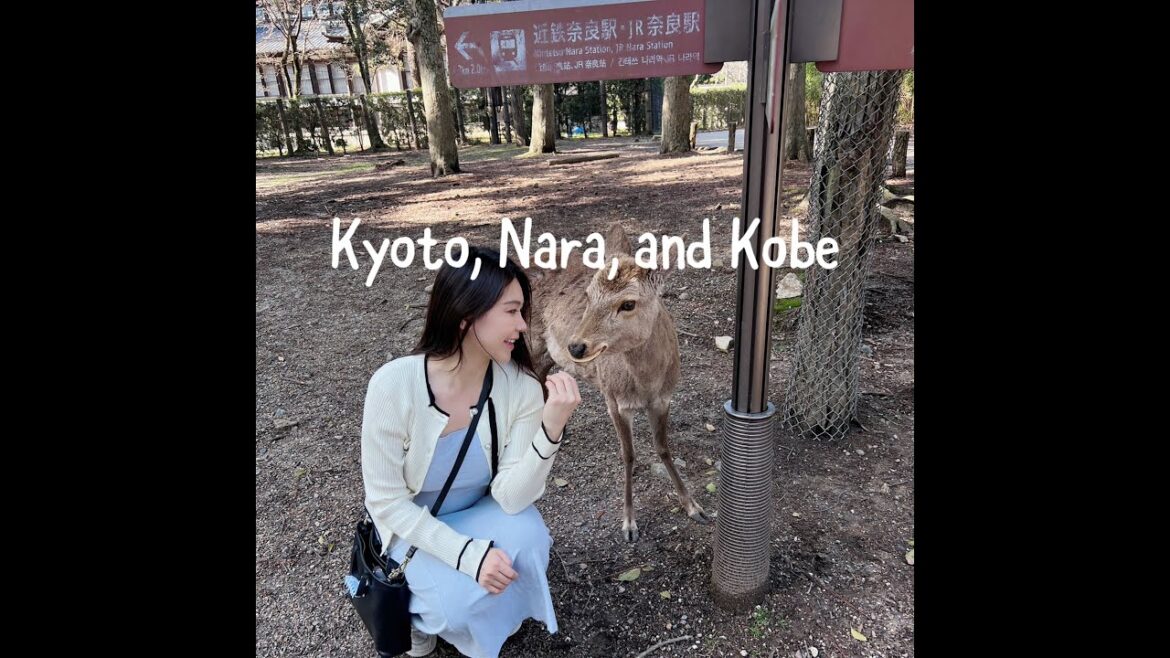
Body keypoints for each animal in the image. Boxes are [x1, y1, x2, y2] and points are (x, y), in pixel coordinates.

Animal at [526, 222, 710, 542]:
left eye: (628, 303)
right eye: (588, 295)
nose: (577, 346)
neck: (646, 385)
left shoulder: (665, 399)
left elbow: (663, 448)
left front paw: (693, 507)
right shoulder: (613, 399)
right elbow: (628, 455)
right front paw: (629, 524)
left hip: (548, 353)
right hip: (528, 340)